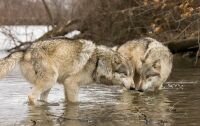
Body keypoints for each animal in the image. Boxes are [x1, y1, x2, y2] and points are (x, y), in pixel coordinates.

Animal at [0, 38, 134, 105]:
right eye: (125, 74)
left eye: (132, 76)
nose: (134, 88)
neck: (98, 62)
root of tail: (25, 52)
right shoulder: (71, 84)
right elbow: (74, 102)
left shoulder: (66, 85)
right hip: (50, 80)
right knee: (31, 97)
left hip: (49, 84)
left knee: (41, 98)